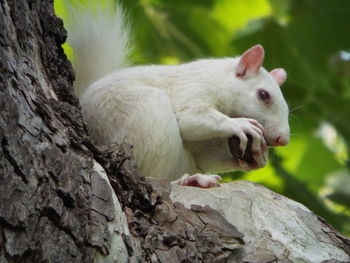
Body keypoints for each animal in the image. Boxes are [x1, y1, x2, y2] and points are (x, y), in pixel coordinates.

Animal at [65, 3, 290, 189]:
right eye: (263, 95)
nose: (283, 139)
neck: (219, 79)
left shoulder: (205, 146)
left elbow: (207, 156)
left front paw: (258, 156)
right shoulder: (193, 87)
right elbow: (189, 119)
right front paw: (239, 124)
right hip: (145, 117)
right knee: (150, 176)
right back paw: (188, 180)